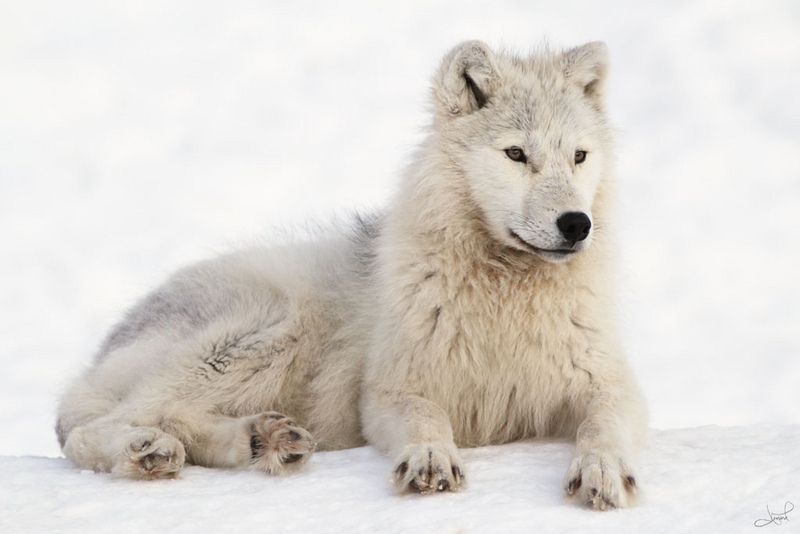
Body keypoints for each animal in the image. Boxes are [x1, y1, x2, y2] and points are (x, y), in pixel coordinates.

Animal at [56, 40, 648, 510]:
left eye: (579, 156)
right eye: (517, 154)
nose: (576, 224)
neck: (507, 295)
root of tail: (100, 353)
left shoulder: (610, 385)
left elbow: (603, 426)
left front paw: (602, 471)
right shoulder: (389, 391)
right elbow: (425, 420)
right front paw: (429, 456)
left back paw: (263, 440)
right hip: (270, 329)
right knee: (94, 428)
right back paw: (149, 452)